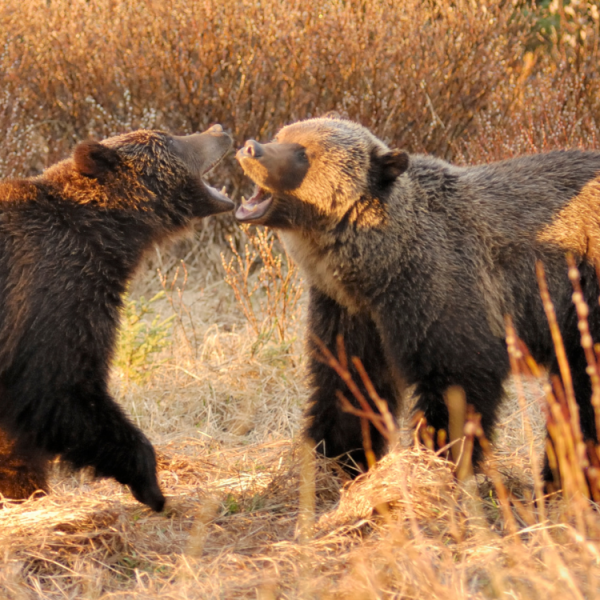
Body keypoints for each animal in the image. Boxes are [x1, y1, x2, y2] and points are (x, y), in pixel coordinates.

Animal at [0, 124, 234, 508]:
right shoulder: (53, 290)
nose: (219, 130)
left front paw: (24, 488)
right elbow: (62, 385)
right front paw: (150, 485)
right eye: (170, 140)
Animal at [236, 116, 600, 478]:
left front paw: (435, 463)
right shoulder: (347, 312)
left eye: (302, 152)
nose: (250, 148)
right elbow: (348, 384)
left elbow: (457, 385)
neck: (379, 269)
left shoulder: (440, 294)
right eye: (281, 135)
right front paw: (336, 461)